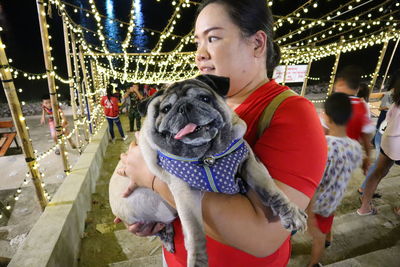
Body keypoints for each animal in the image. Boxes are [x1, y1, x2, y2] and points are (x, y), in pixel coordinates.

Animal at [111, 74, 308, 266]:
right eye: (166, 109)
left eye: (204, 98)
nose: (184, 107)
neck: (208, 154)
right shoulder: (185, 193)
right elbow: (195, 233)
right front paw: (197, 261)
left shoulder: (251, 163)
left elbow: (271, 190)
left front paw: (291, 212)